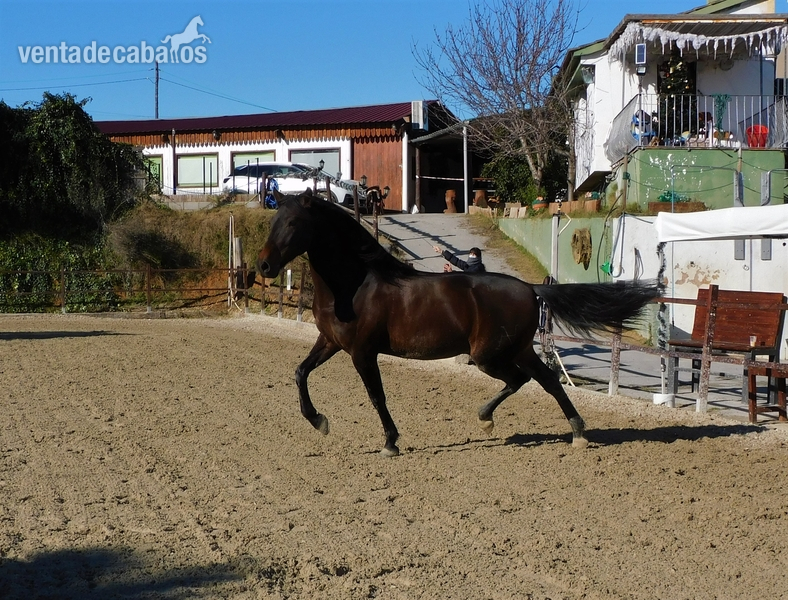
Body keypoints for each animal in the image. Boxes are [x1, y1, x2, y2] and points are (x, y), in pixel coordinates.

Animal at [257, 190, 659, 457]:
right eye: (273, 221)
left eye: (293, 223)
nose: (264, 266)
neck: (354, 285)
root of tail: (531, 289)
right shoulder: (330, 342)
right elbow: (300, 372)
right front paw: (319, 421)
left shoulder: (362, 352)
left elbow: (376, 395)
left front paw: (390, 442)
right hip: (518, 349)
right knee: (545, 380)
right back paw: (575, 432)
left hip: (489, 355)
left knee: (523, 380)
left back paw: (488, 419)